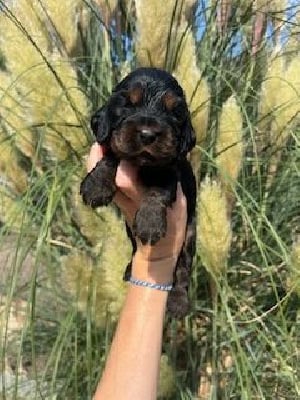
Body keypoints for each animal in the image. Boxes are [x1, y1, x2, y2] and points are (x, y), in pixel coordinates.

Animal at [79, 69, 197, 318]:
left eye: (174, 112)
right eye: (127, 104)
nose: (147, 134)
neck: (142, 165)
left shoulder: (170, 171)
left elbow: (157, 191)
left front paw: (150, 223)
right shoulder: (112, 147)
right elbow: (112, 156)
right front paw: (95, 186)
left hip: (190, 233)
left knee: (183, 267)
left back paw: (178, 301)